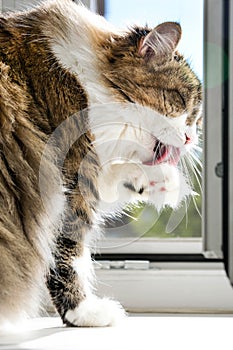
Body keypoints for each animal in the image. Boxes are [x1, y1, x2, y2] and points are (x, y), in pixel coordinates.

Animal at [0, 0, 201, 328]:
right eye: (181, 101)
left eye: (197, 119)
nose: (190, 139)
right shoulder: (70, 185)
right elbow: (68, 257)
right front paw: (84, 312)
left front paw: (164, 181)